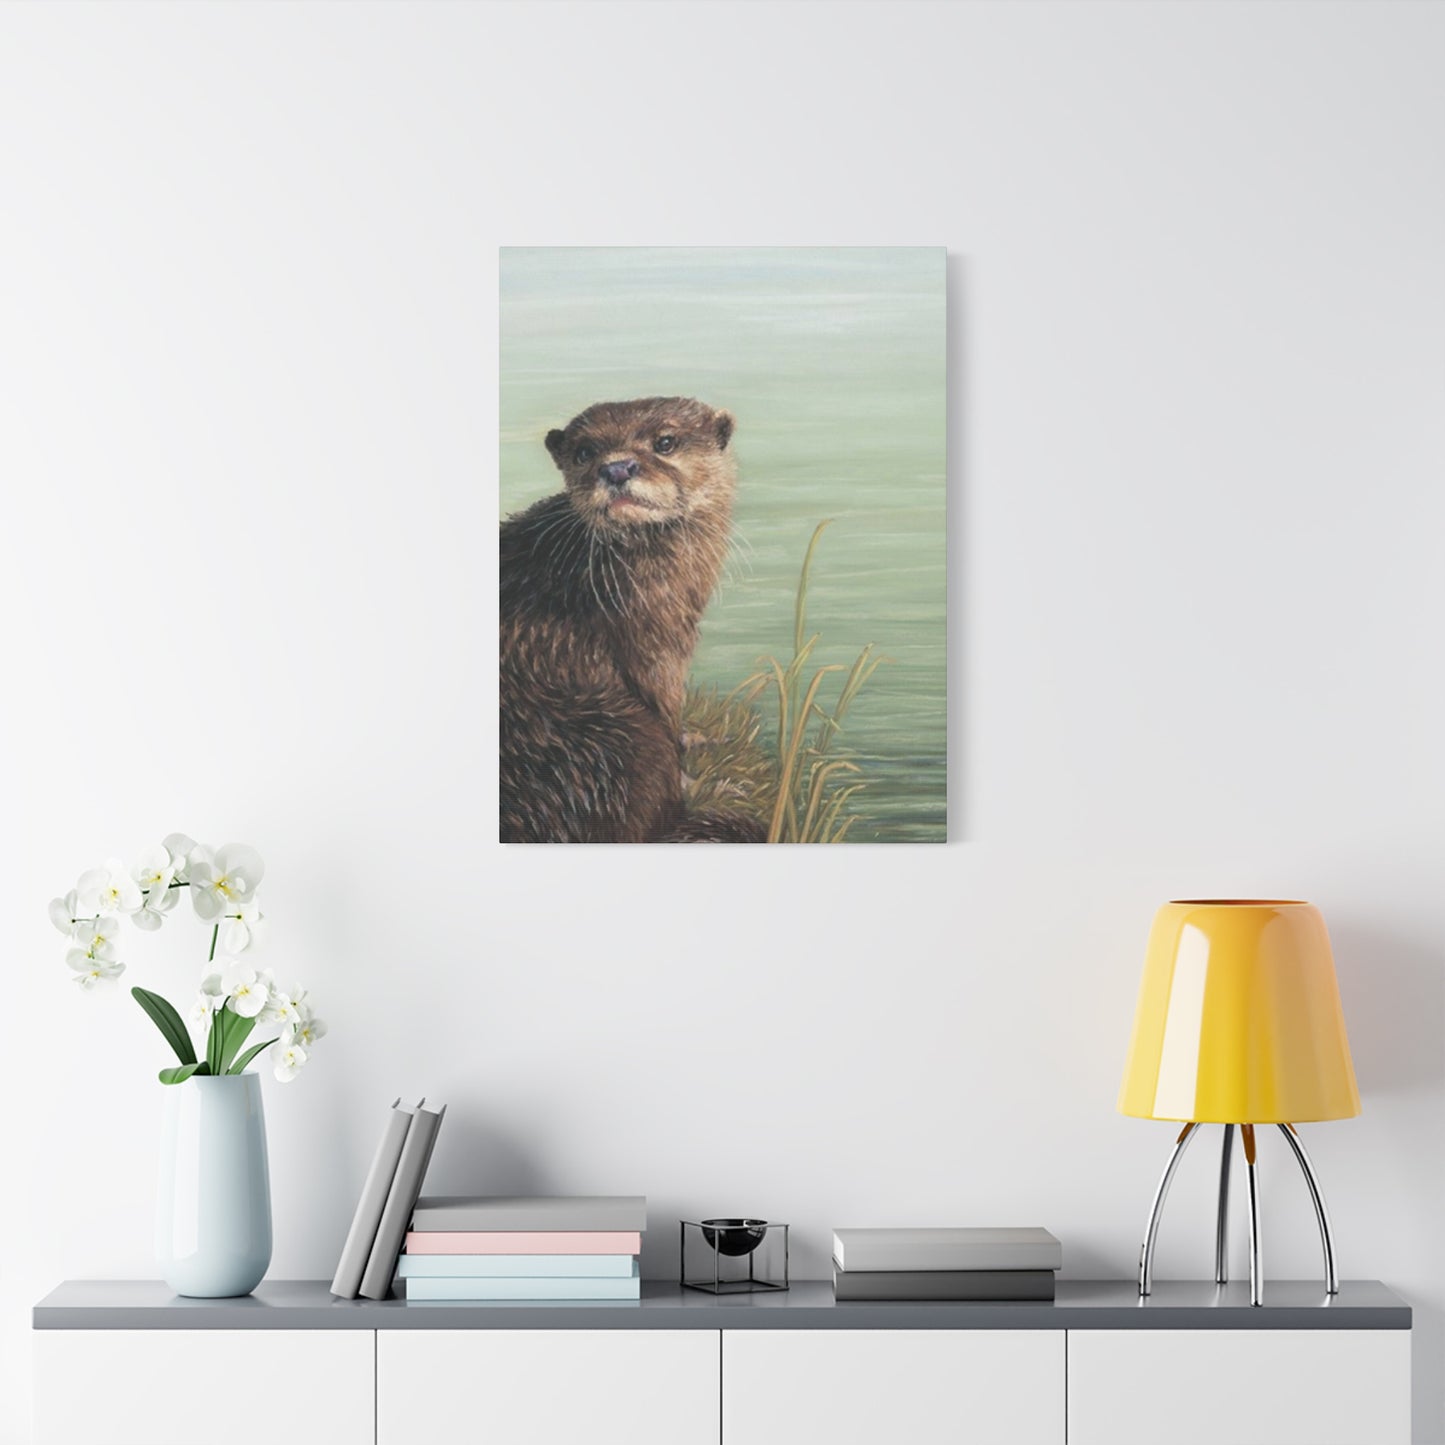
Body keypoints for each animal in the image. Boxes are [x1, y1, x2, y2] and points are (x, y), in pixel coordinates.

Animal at [500, 396, 764, 843]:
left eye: (665, 442)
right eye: (584, 451)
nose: (617, 468)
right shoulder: (651, 640)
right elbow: (663, 702)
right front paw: (691, 768)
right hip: (622, 738)